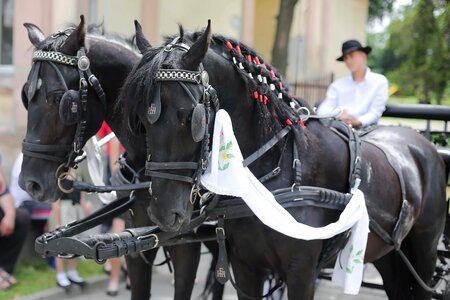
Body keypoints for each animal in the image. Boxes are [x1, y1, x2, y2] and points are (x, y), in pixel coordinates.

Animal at [120, 19, 450, 298]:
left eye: (192, 117)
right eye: (141, 120)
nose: (162, 213)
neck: (277, 170)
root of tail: (422, 143)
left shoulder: (301, 272)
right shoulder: (246, 267)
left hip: (424, 252)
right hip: (389, 253)